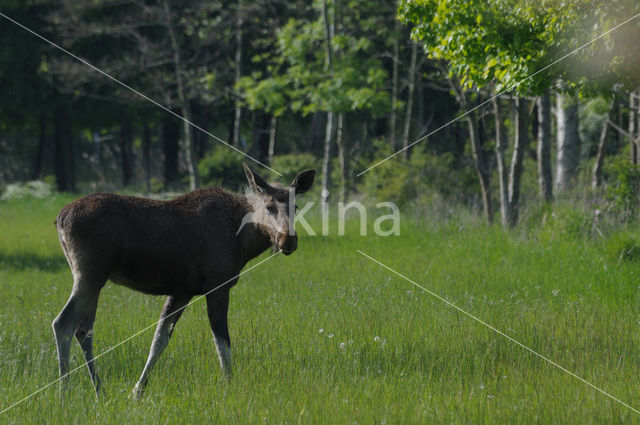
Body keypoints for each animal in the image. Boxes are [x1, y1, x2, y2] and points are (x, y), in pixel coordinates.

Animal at [52, 163, 316, 398]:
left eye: (296, 206)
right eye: (269, 207)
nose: (288, 241)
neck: (243, 241)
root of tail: (60, 218)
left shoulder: (182, 291)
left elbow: (159, 340)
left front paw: (137, 391)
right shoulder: (217, 287)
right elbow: (223, 343)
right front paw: (229, 386)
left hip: (94, 280)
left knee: (84, 330)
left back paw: (99, 390)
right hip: (89, 275)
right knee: (63, 323)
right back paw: (64, 393)